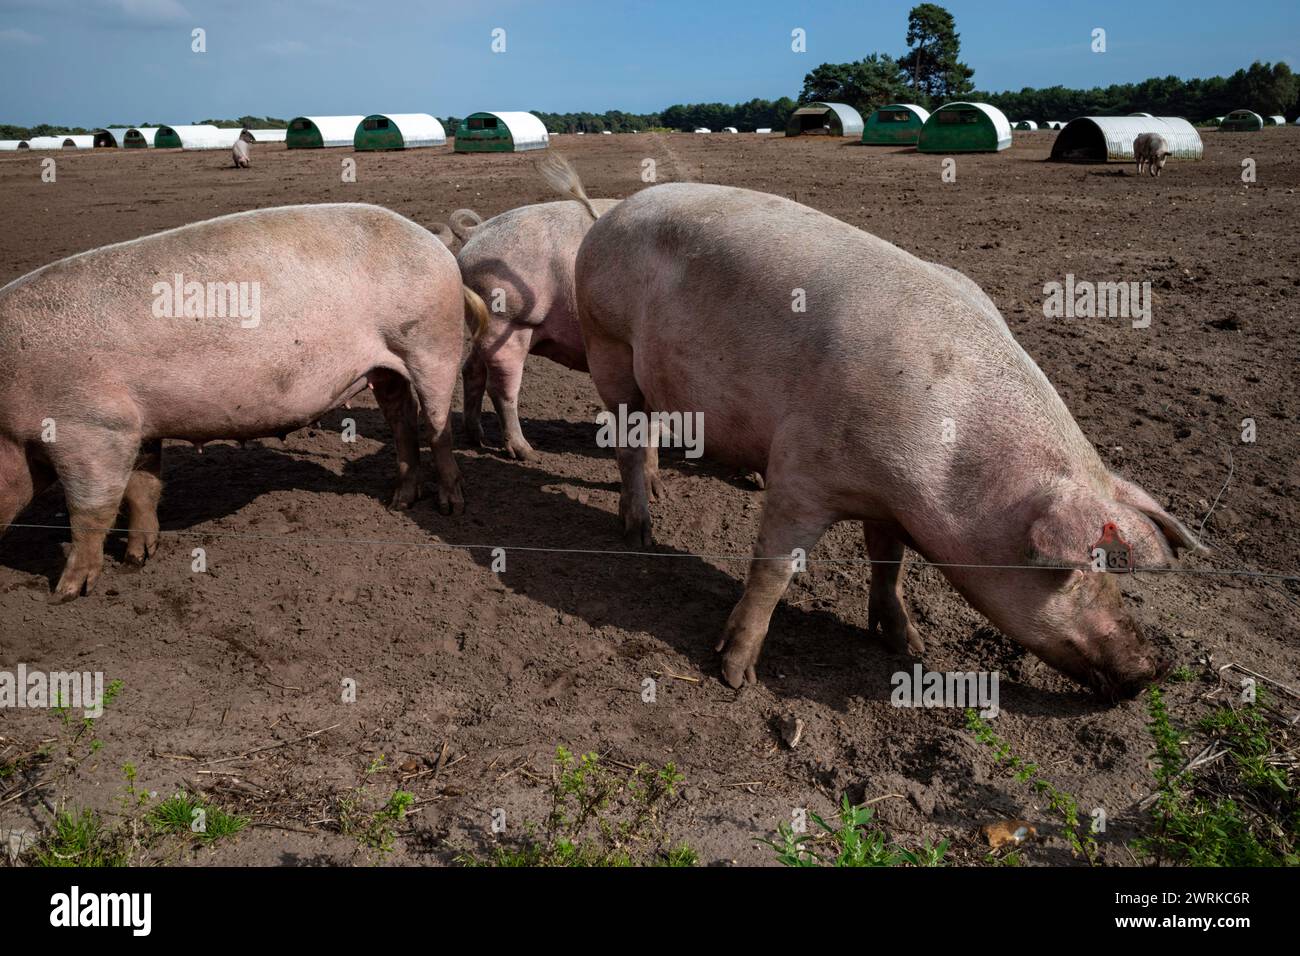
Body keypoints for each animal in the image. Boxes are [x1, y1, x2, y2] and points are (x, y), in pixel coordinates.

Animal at [0, 205, 480, 600]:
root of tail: (434, 242)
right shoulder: (140, 425)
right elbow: (142, 489)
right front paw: (138, 559)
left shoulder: (92, 427)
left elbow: (89, 510)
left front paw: (65, 593)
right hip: (387, 366)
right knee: (402, 417)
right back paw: (399, 501)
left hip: (432, 341)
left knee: (436, 420)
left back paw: (450, 505)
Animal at [574, 180, 1201, 702]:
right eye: (1073, 573)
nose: (1153, 670)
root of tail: (613, 213)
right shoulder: (800, 469)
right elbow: (774, 569)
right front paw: (734, 675)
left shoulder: (889, 502)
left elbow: (890, 562)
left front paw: (908, 645)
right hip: (607, 342)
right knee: (627, 437)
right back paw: (640, 534)